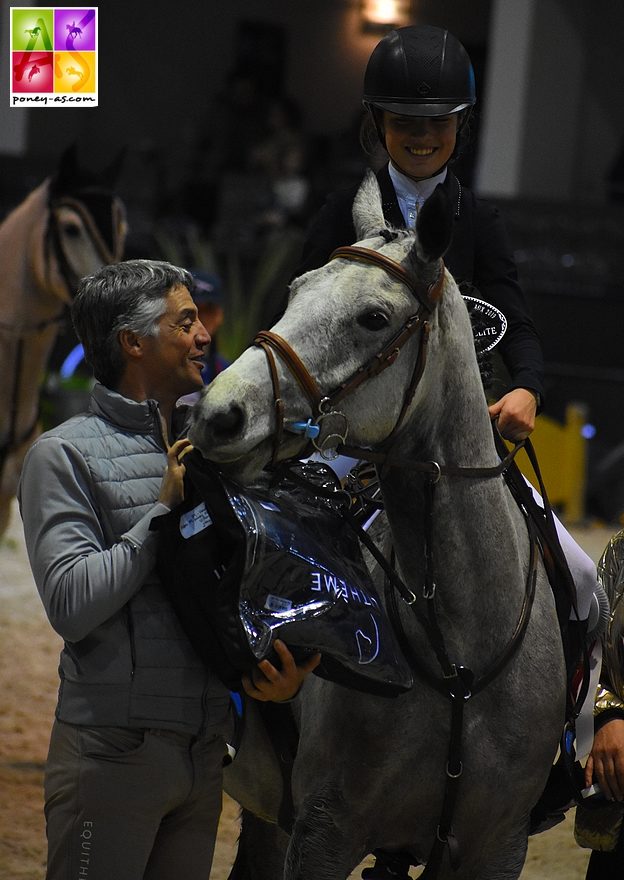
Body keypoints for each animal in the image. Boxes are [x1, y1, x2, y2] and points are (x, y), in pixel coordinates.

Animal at [190, 172, 564, 880]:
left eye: (373, 318)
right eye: (295, 292)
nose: (218, 415)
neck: (459, 655)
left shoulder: (497, 846)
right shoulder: (325, 832)